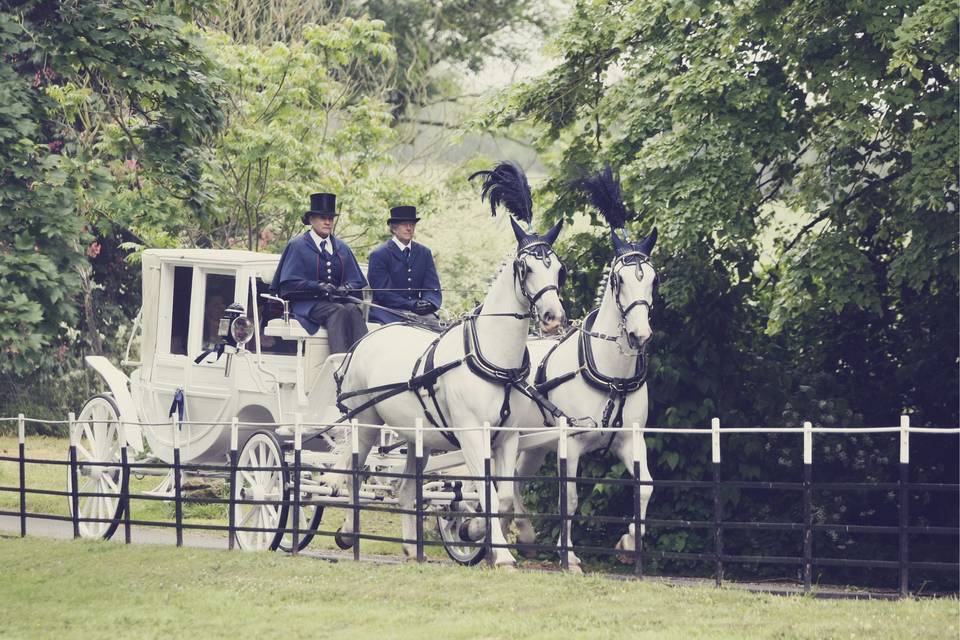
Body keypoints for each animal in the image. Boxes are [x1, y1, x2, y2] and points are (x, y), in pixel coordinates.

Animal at [328, 165, 564, 564]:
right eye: (525, 267)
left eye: (559, 269)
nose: (552, 318)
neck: (494, 358)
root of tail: (365, 341)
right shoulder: (470, 434)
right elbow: (485, 493)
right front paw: (491, 547)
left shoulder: (508, 437)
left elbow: (502, 498)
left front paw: (482, 535)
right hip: (366, 422)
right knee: (354, 474)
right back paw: (347, 534)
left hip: (416, 438)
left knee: (406, 490)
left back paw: (412, 549)